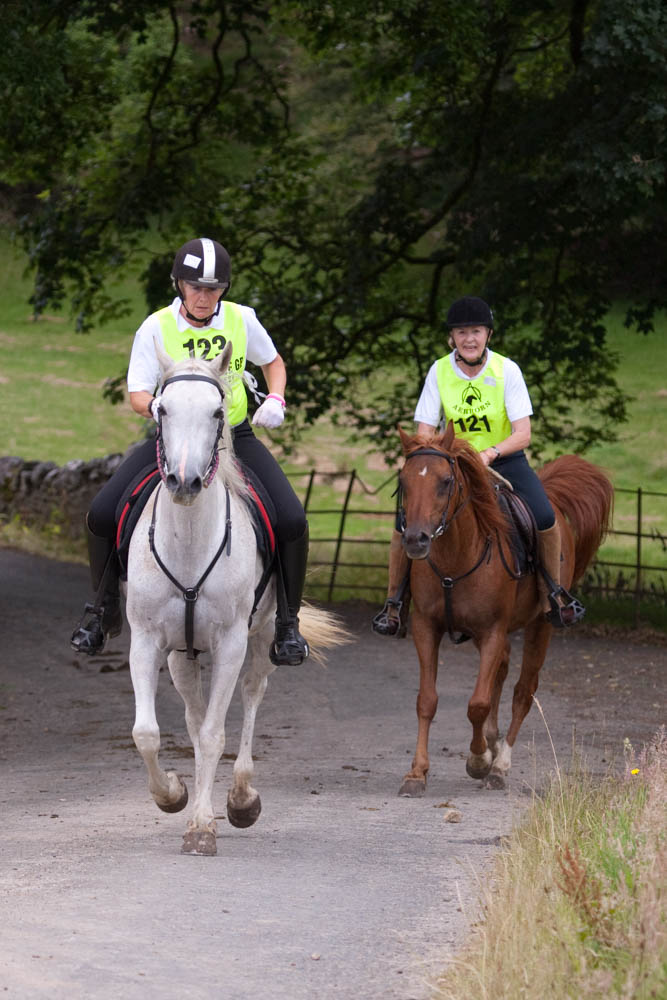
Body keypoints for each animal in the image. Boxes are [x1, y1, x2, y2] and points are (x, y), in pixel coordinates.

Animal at [124, 342, 348, 852]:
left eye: (216, 411)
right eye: (161, 409)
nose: (184, 482)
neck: (189, 541)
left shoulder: (230, 644)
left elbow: (213, 734)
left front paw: (203, 826)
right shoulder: (146, 641)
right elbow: (148, 733)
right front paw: (172, 795)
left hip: (262, 638)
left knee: (250, 697)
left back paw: (243, 799)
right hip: (181, 654)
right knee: (192, 714)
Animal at [394, 424, 612, 796]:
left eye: (446, 481)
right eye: (405, 481)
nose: (415, 540)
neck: (456, 557)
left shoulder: (491, 631)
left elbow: (478, 704)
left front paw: (479, 761)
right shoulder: (426, 628)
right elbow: (427, 700)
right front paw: (416, 773)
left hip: (541, 625)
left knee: (523, 691)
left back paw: (500, 764)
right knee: (502, 672)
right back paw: (493, 744)